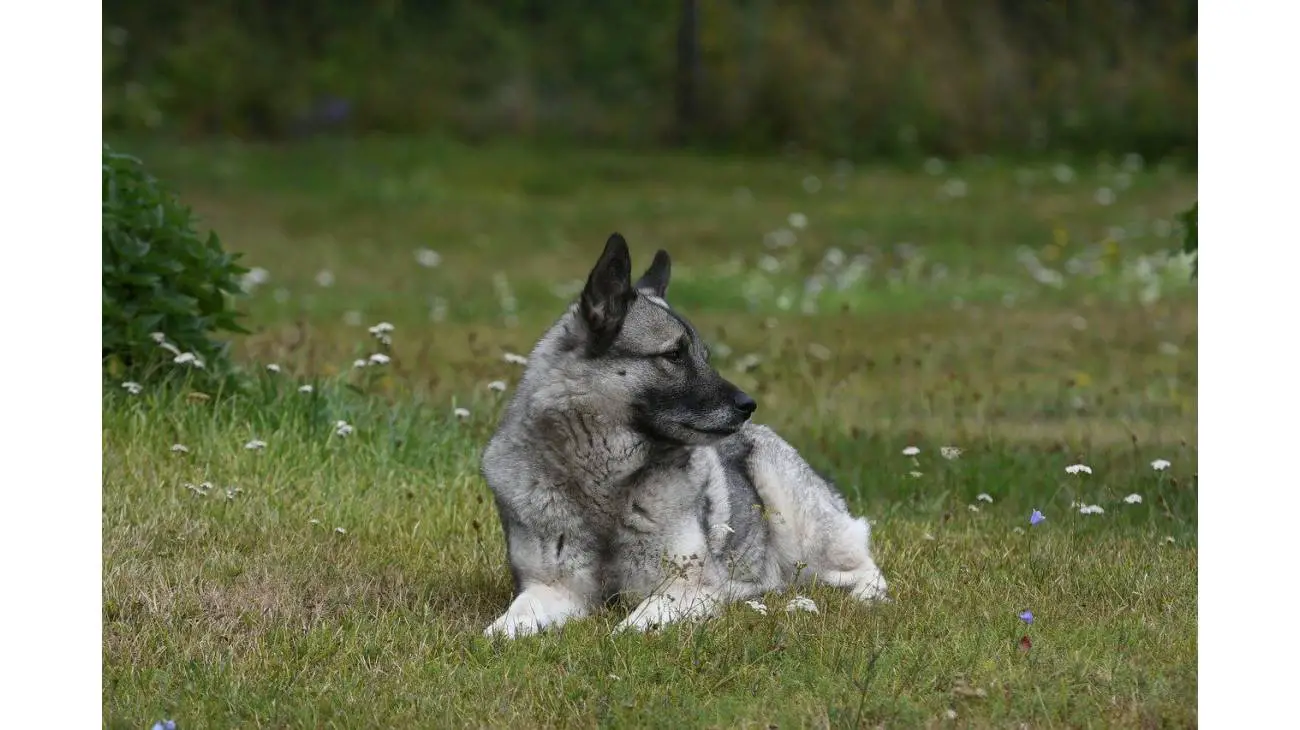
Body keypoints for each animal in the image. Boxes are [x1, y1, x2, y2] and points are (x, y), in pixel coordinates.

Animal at [483, 233, 889, 636]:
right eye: (674, 355)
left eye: (703, 356)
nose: (748, 404)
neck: (605, 483)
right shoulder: (552, 588)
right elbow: (505, 626)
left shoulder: (686, 587)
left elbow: (633, 625)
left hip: (796, 517)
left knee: (862, 570)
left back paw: (857, 598)